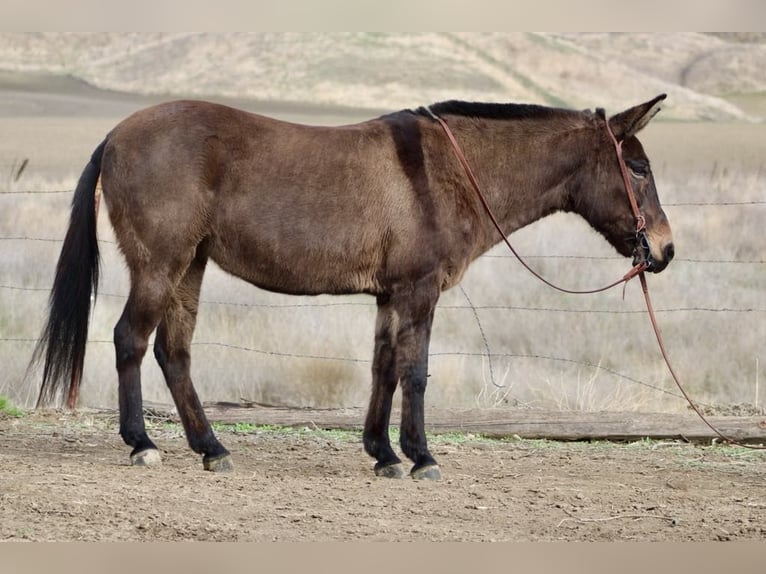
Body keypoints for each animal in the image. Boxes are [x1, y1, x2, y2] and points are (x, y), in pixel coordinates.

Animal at [32, 94, 674, 480]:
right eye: (638, 167)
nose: (664, 250)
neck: (443, 173)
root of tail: (116, 135)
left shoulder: (391, 296)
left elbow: (383, 368)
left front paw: (382, 454)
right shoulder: (418, 292)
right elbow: (415, 372)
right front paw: (421, 457)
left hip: (190, 266)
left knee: (174, 352)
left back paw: (212, 448)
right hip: (160, 266)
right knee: (130, 341)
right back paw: (142, 443)